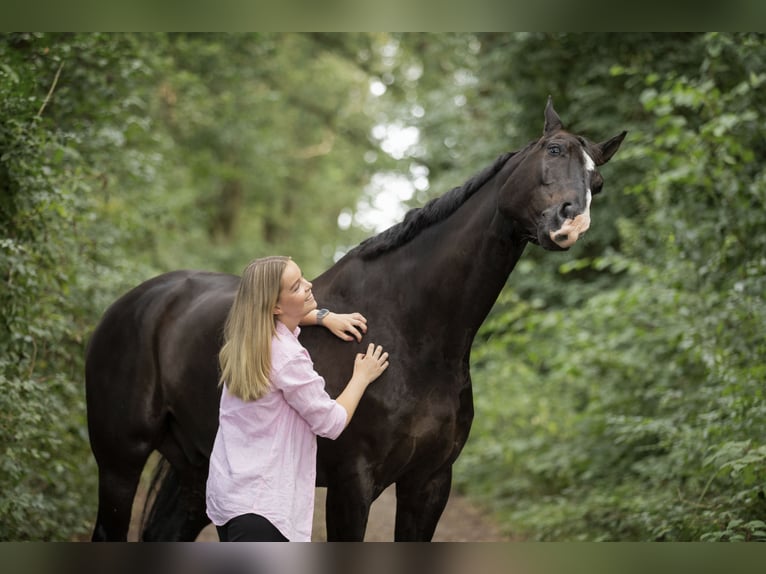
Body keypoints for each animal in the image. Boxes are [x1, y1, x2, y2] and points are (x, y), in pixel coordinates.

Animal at [85, 97, 626, 541]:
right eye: (552, 151)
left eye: (598, 182)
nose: (571, 221)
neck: (414, 333)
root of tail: (136, 302)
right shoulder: (353, 483)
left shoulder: (429, 483)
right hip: (119, 463)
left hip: (198, 472)